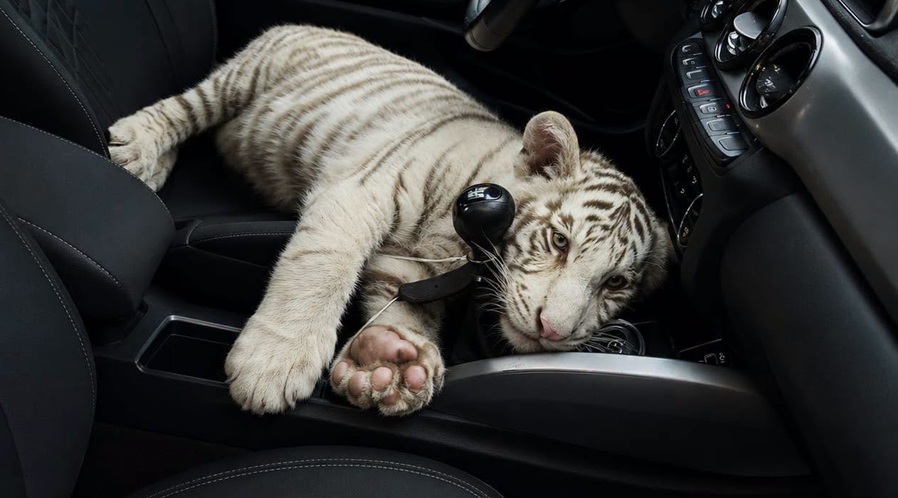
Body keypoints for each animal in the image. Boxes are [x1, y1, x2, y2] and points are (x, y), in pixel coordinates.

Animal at [107, 25, 672, 416]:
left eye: (615, 283)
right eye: (559, 241)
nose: (552, 331)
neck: (462, 242)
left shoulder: (413, 264)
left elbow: (404, 308)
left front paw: (391, 363)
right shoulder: (359, 191)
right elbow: (320, 269)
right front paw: (272, 363)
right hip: (242, 77)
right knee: (186, 107)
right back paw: (137, 149)